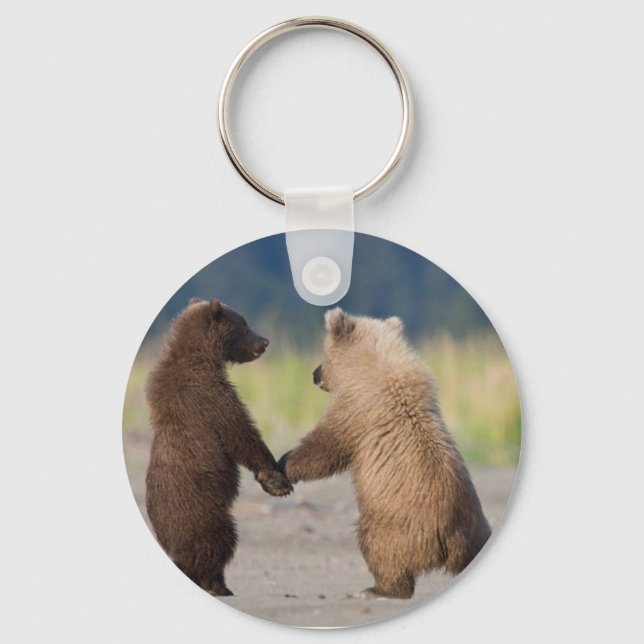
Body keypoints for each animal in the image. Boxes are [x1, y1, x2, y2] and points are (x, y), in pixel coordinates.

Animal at [145, 298, 292, 596]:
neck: (204, 356)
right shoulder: (208, 394)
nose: (264, 341)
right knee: (218, 541)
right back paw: (216, 583)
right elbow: (239, 432)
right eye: (243, 323)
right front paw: (275, 480)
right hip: (203, 512)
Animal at [279, 308, 491, 599]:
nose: (314, 373)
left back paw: (378, 588)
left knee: (379, 548)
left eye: (324, 353)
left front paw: (283, 465)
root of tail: (449, 539)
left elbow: (326, 447)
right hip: (475, 529)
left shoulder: (357, 409)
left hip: (395, 524)